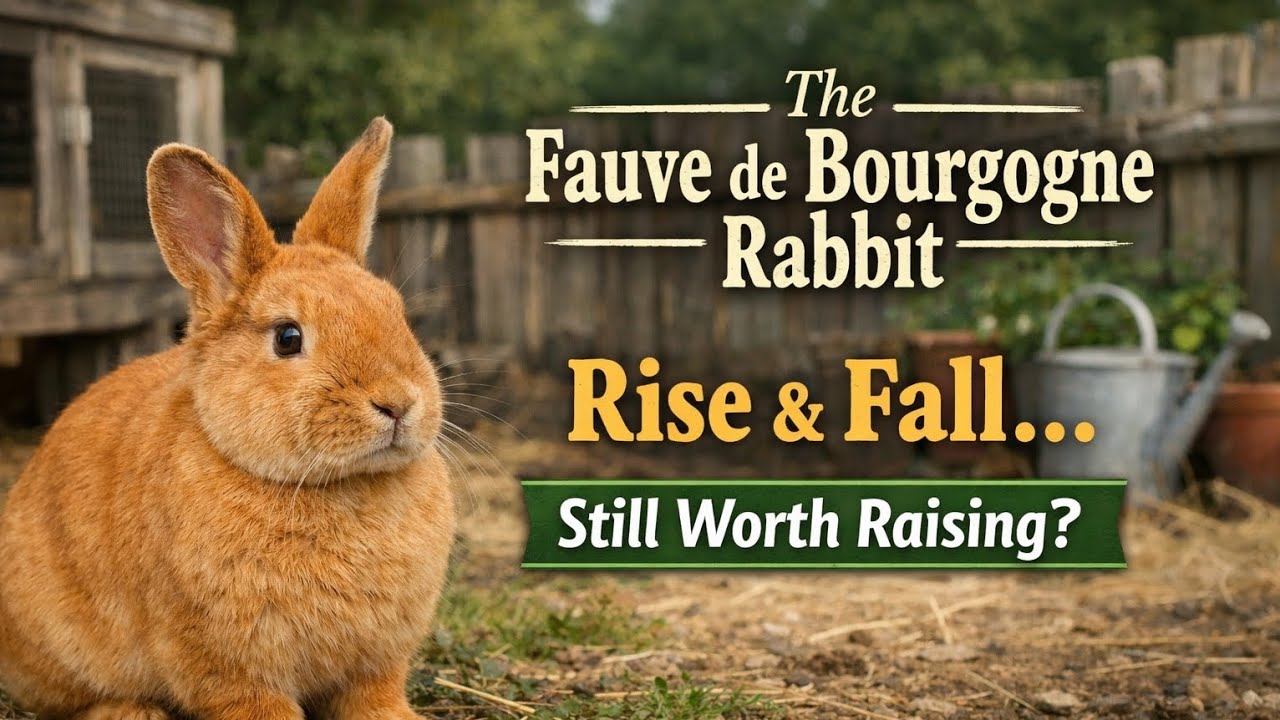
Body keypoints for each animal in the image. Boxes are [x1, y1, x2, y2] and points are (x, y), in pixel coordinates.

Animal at [0, 117, 456, 720]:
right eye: (288, 337)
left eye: (397, 314)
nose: (399, 403)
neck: (334, 485)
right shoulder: (230, 668)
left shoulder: (377, 662)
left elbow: (376, 697)